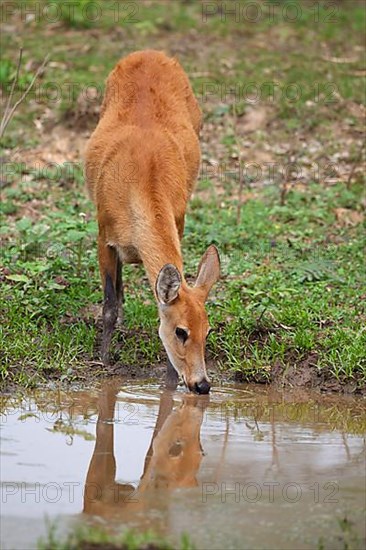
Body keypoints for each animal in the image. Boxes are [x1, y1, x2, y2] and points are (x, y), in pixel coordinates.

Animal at [84, 49, 219, 394]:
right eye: (181, 331)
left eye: (208, 331)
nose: (201, 384)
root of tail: (151, 53)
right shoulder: (103, 232)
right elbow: (108, 306)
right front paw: (103, 360)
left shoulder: (178, 220)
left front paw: (169, 381)